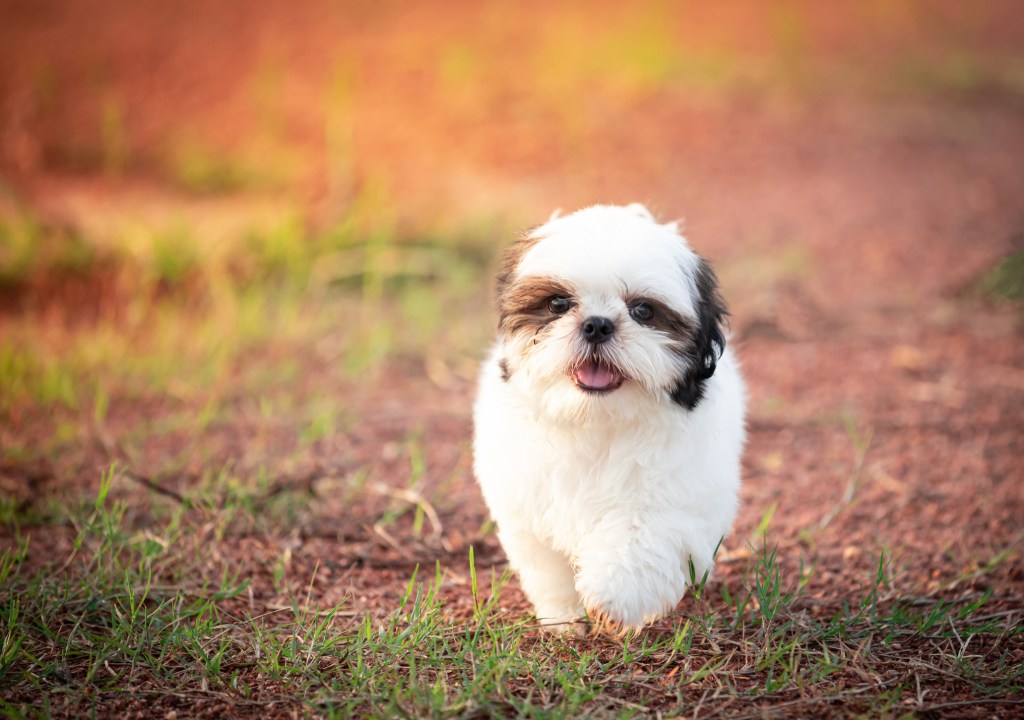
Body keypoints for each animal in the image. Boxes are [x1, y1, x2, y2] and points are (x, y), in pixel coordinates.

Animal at [471, 205, 745, 634]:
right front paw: (564, 618)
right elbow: (549, 566)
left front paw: (613, 596)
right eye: (558, 304)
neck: (596, 421)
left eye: (643, 311)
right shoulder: (528, 506)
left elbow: (641, 534)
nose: (597, 324)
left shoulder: (676, 497)